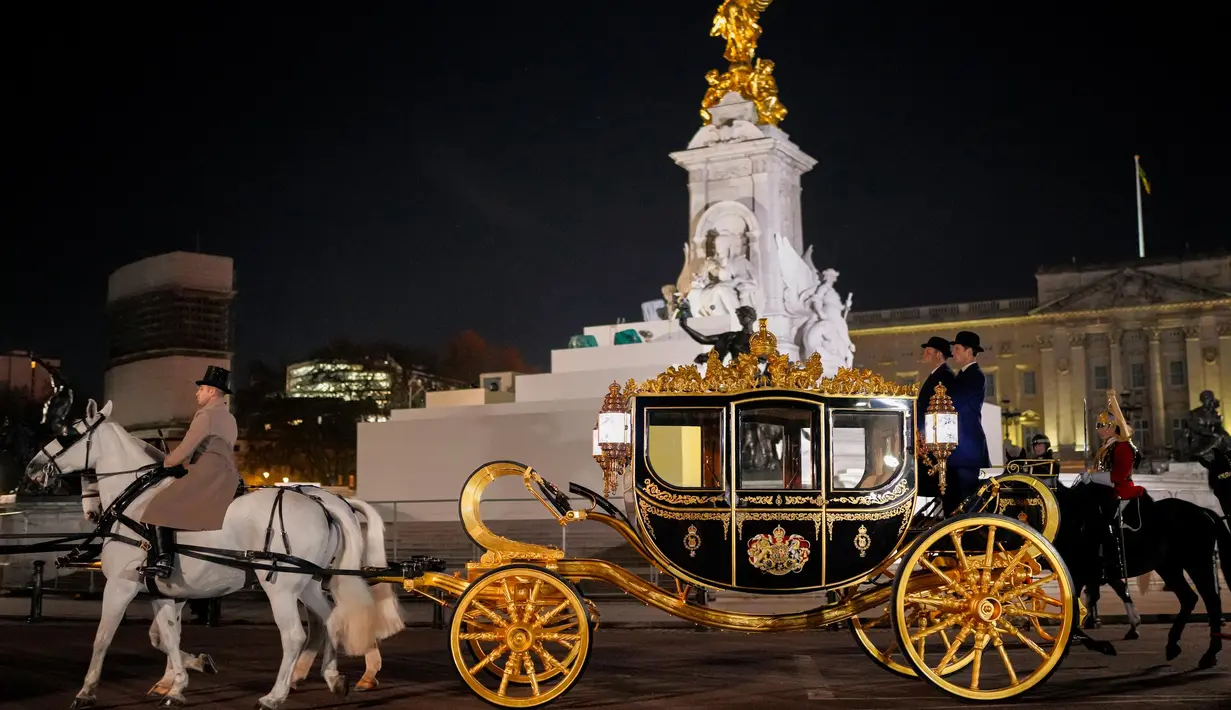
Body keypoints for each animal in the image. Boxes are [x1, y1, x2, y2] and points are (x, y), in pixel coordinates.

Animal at [25, 401, 398, 703]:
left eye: (68, 433)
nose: (32, 467)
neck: (137, 502)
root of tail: (324, 502)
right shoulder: (164, 591)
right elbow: (165, 636)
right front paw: (181, 679)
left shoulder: (122, 585)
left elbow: (104, 637)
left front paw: (87, 691)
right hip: (306, 583)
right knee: (330, 619)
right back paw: (331, 677)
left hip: (280, 587)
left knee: (296, 634)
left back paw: (276, 694)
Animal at [1048, 479, 1231, 669]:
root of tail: (1203, 511)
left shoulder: (1079, 575)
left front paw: (1101, 643)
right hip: (1168, 567)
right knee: (1189, 598)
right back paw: (1173, 646)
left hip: (1197, 563)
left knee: (1212, 601)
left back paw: (1210, 653)